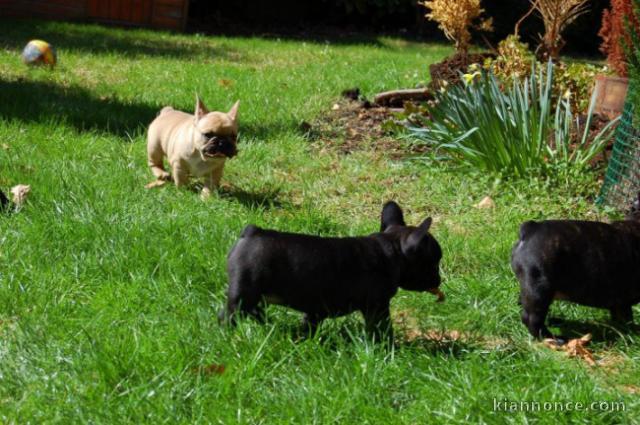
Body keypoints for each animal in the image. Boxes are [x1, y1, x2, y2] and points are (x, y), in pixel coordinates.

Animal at [218, 200, 442, 340]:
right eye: (434, 262)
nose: (439, 280)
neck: (391, 249)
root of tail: (251, 233)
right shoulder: (377, 307)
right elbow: (382, 329)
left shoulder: (315, 311)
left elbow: (309, 325)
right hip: (244, 293)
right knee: (229, 315)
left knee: (254, 311)